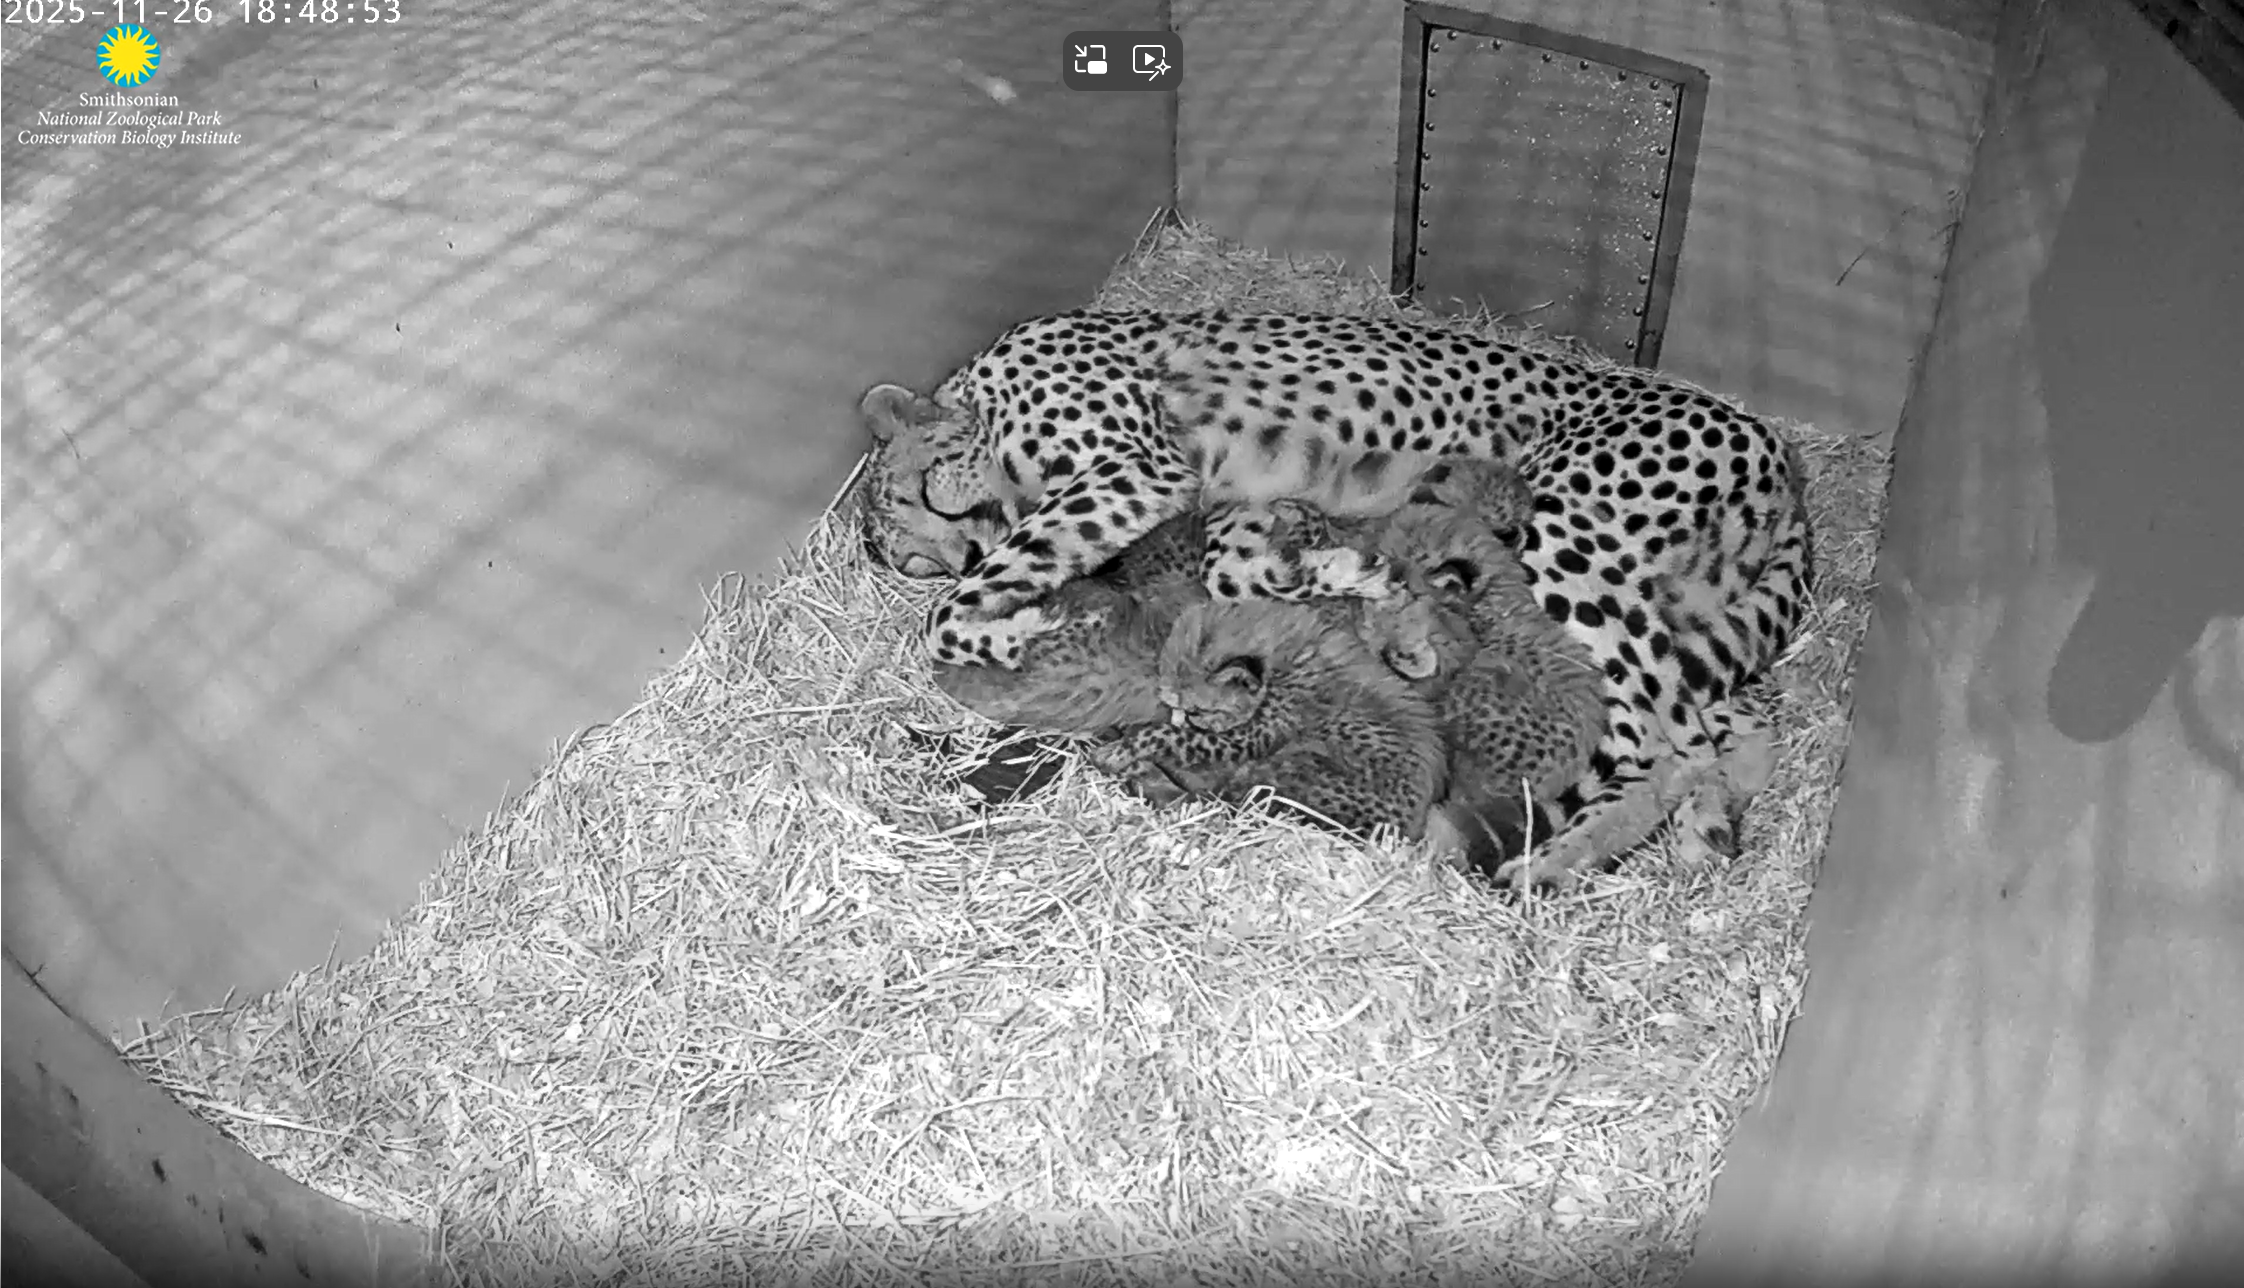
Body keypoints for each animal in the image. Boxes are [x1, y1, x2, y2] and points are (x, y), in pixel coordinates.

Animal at [1085, 597, 1447, 844]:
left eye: (1198, 711)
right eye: (1178, 706)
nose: (1183, 717)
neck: (1282, 659)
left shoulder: (1245, 740)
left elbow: (1169, 737)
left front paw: (1122, 750)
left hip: (1295, 764)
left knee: (1217, 795)